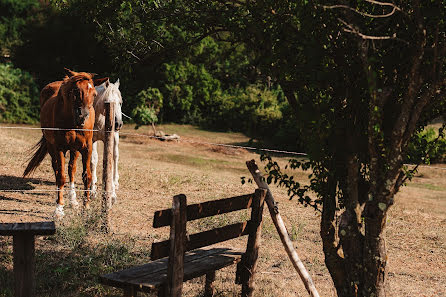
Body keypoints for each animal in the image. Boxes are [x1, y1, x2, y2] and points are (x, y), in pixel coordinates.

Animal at [24, 69, 108, 217]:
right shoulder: (59, 148)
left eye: (94, 94)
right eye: (76, 91)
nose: (83, 117)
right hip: (51, 146)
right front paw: (59, 208)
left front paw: (86, 206)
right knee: (57, 169)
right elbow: (61, 176)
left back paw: (73, 200)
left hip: (74, 149)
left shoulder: (86, 148)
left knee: (71, 170)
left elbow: (86, 176)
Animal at [66, 78, 123, 206]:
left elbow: (110, 162)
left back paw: (115, 181)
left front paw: (112, 194)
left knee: (116, 156)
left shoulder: (109, 139)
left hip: (116, 138)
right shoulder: (91, 141)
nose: (118, 123)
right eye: (108, 102)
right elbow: (93, 161)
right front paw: (92, 190)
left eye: (120, 102)